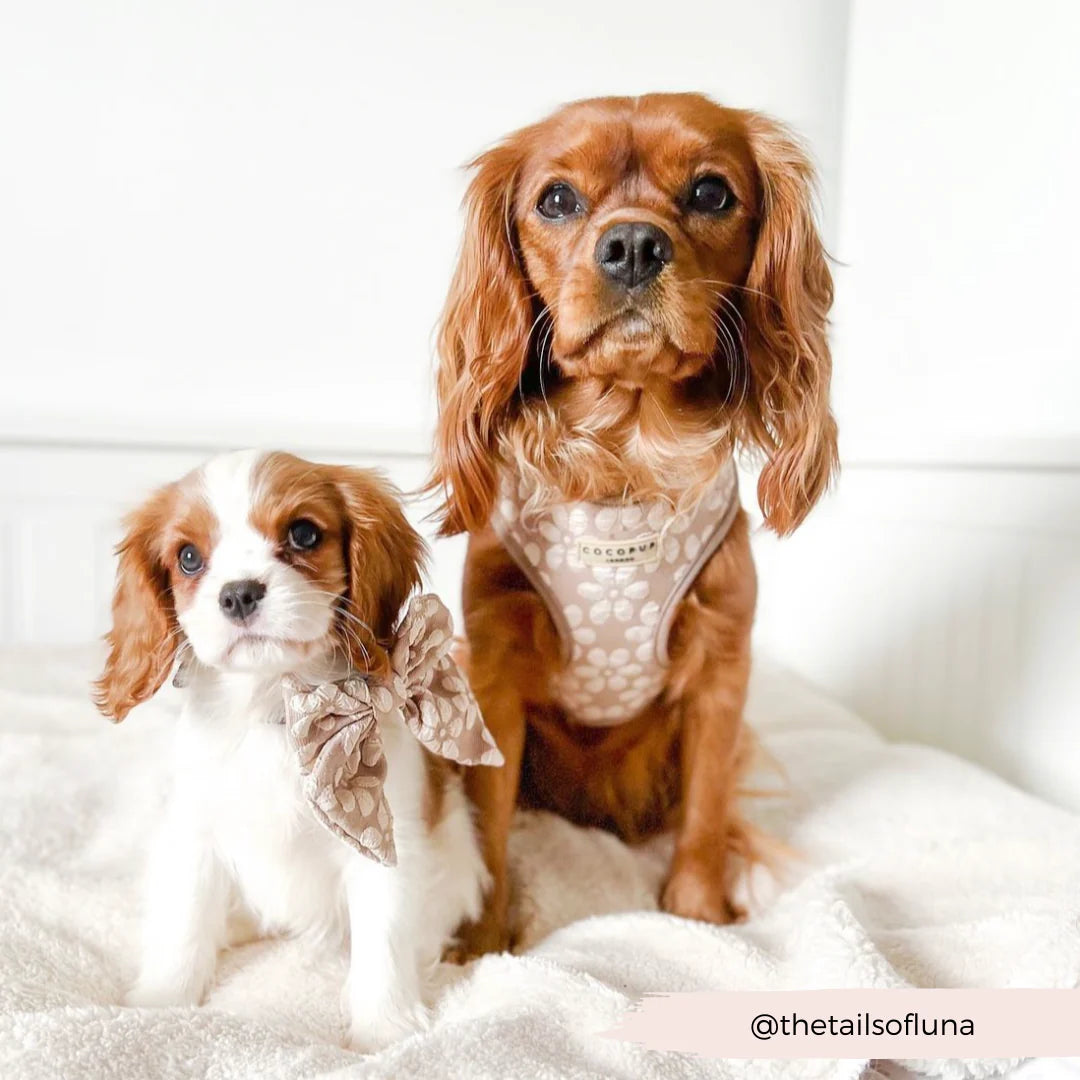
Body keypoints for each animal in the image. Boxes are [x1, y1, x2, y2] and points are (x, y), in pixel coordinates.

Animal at [95, 451, 492, 1049]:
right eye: (188, 558)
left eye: (303, 533)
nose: (238, 592)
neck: (277, 708)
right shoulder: (196, 832)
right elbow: (184, 921)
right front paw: (160, 1005)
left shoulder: (384, 845)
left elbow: (383, 942)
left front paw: (383, 1029)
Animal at [427, 92, 833, 954]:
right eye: (556, 200)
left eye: (711, 192)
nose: (634, 244)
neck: (626, 458)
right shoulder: (494, 673)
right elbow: (488, 824)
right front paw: (479, 945)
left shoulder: (721, 672)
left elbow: (706, 812)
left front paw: (700, 913)